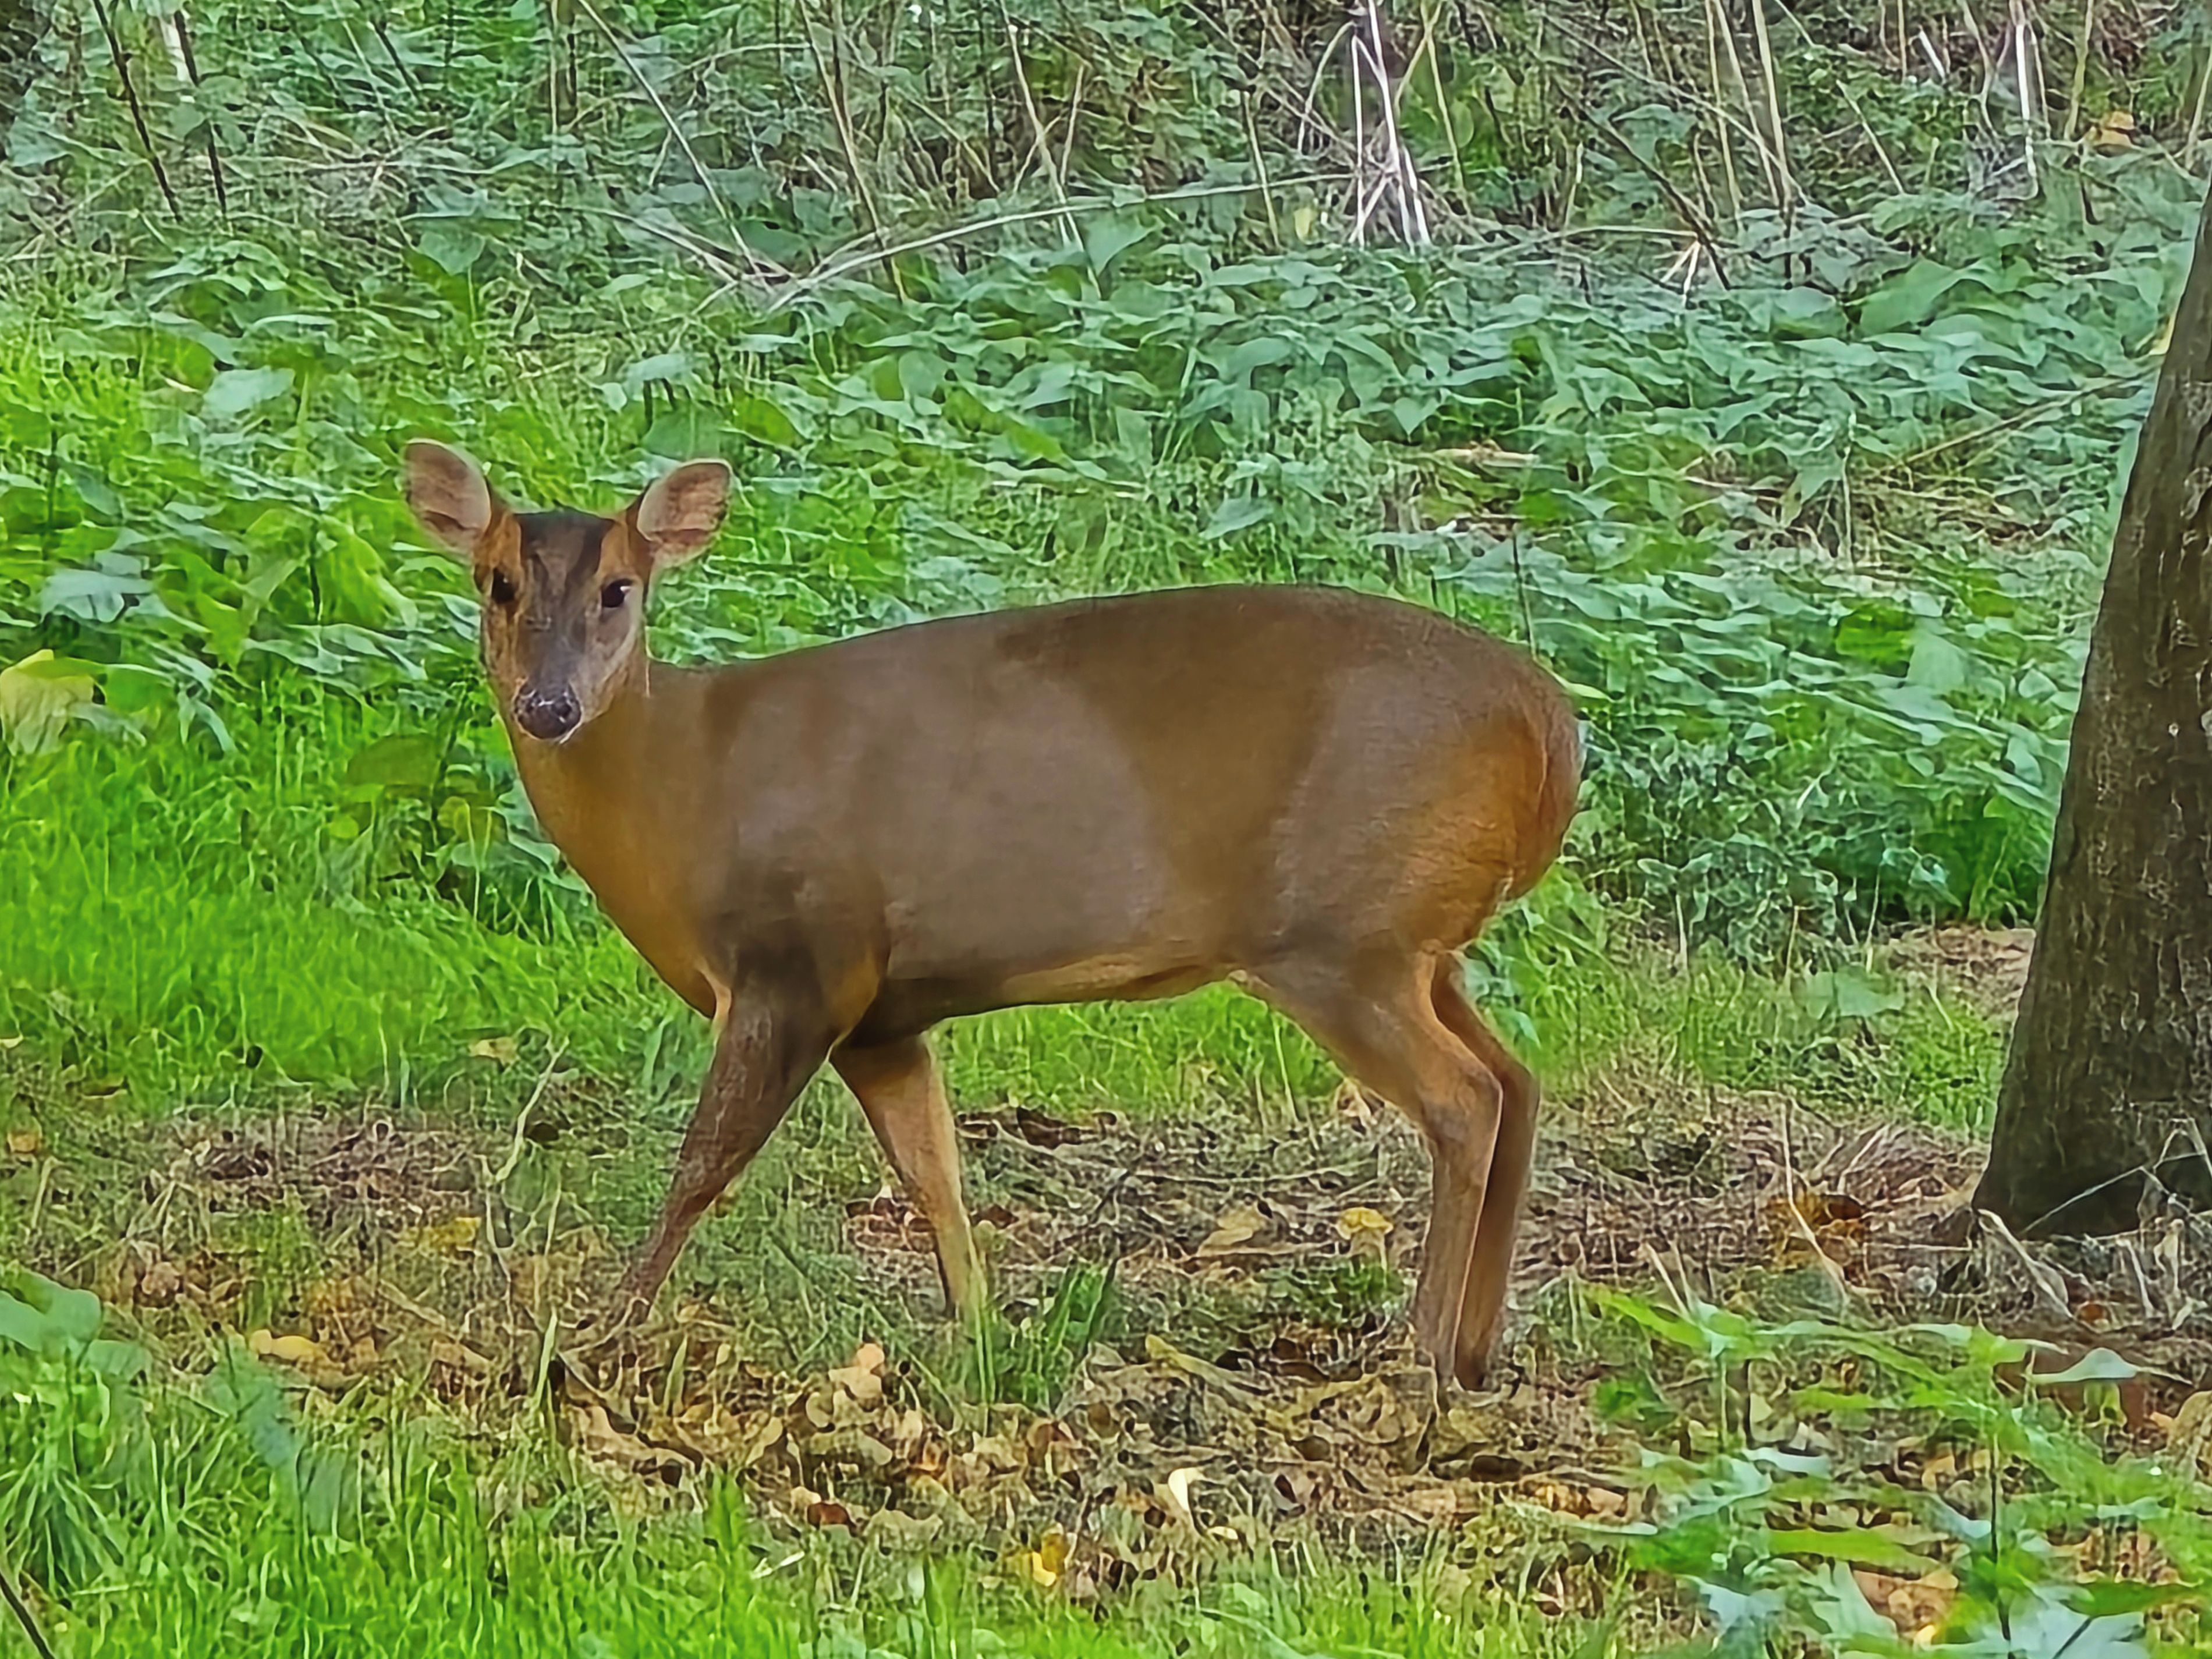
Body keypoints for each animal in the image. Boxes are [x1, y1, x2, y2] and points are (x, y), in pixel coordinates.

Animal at [400, 441, 1580, 1390]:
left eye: (620, 589)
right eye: (497, 583)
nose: (548, 706)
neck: (686, 793)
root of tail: (1552, 732)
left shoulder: (799, 956)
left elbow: (704, 1164)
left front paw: (598, 1332)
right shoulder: (883, 1014)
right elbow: (937, 1174)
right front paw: (982, 1336)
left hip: (1341, 933)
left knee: (1467, 1097)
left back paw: (1423, 1354)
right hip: (1416, 941)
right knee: (1519, 1081)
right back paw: (1478, 1349)